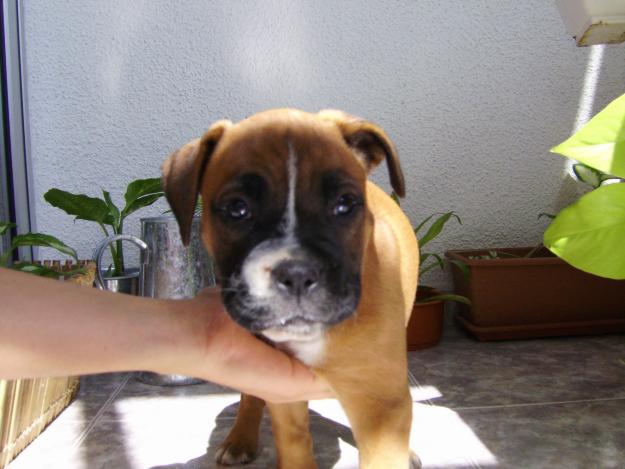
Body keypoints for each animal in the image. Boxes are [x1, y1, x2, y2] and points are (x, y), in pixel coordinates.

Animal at [161, 108, 420, 466]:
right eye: (237, 209)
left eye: (344, 204)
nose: (297, 273)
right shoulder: (283, 393)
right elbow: (294, 445)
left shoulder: (382, 403)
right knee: (250, 397)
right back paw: (239, 439)